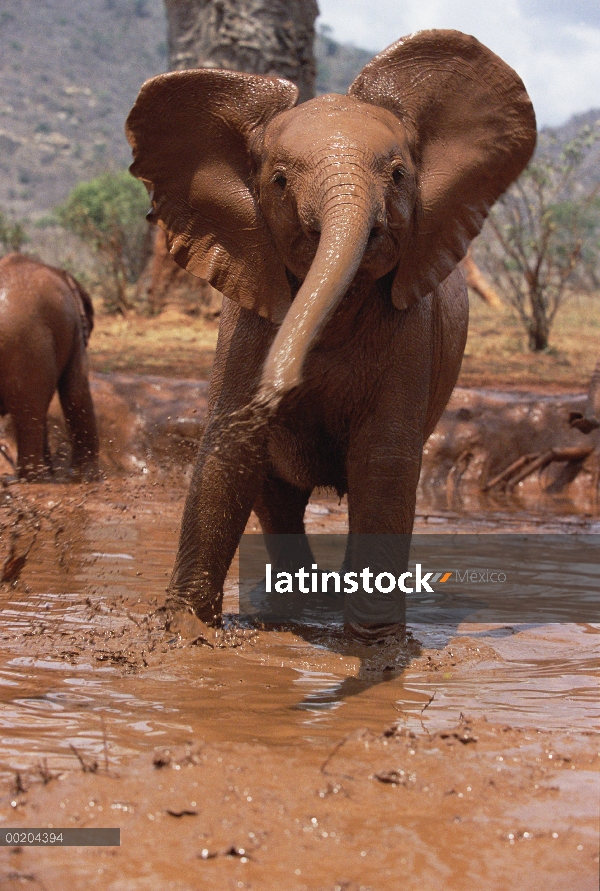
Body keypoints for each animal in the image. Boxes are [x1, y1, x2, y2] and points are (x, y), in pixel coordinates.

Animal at [125, 31, 536, 632]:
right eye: (278, 182)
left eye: (398, 176)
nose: (281, 380)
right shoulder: (249, 318)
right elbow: (229, 449)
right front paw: (184, 633)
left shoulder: (410, 331)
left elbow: (383, 463)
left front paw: (375, 642)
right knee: (277, 497)